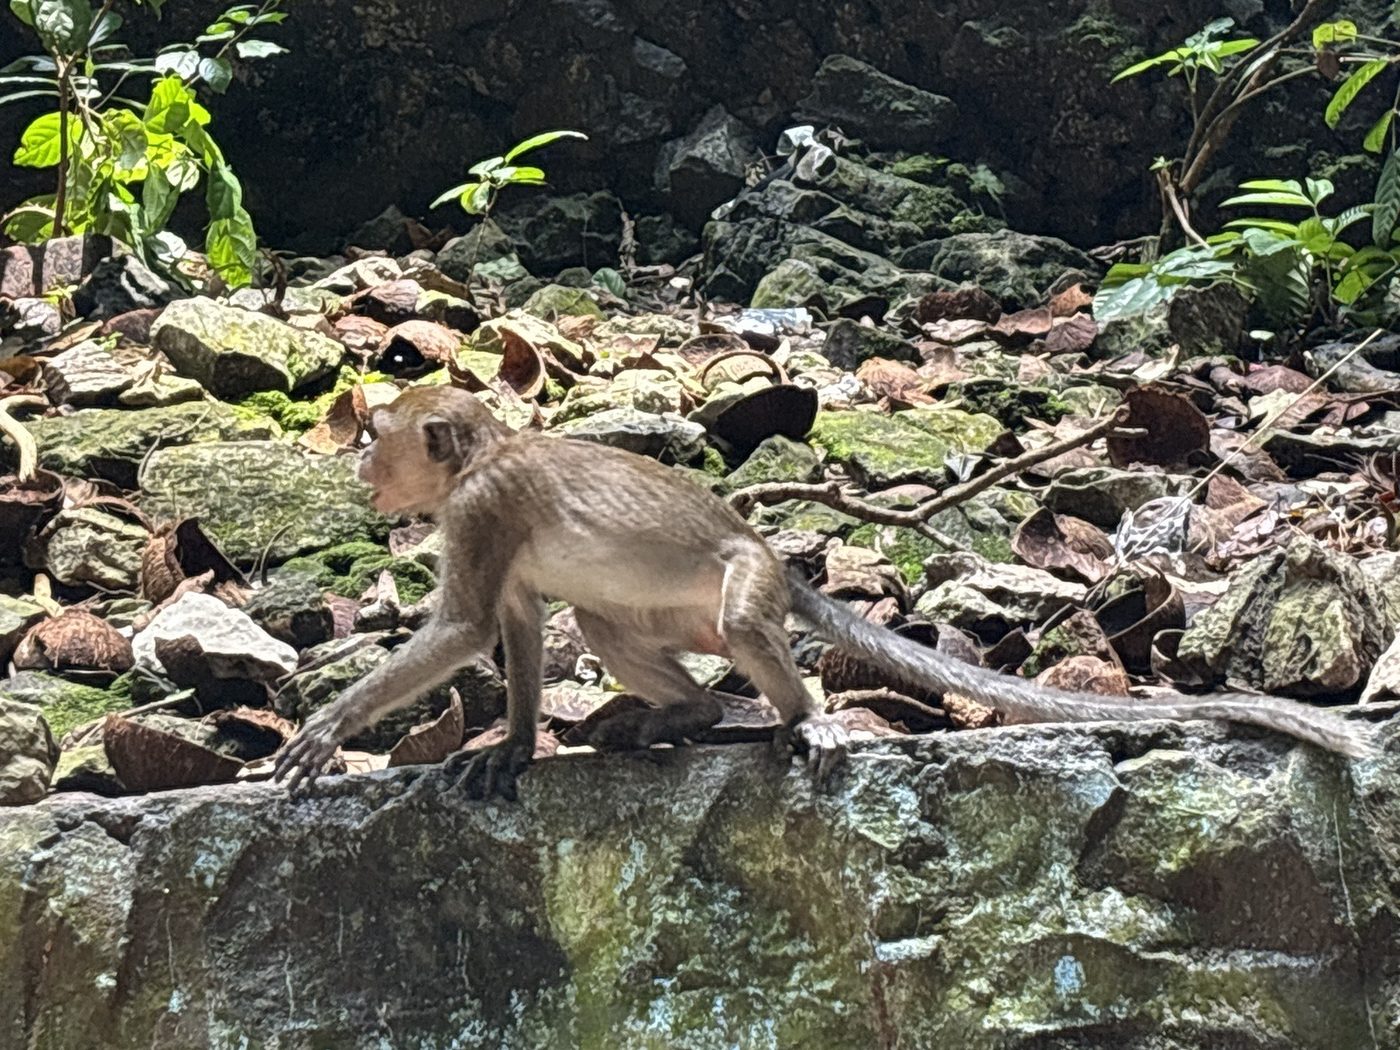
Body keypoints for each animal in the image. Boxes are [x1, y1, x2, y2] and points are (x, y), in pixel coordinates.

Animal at [273, 386, 1376, 798]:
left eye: (377, 437)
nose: (359, 472)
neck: (482, 460)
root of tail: (774, 554)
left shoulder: (482, 509)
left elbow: (464, 627)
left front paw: (327, 730)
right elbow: (515, 624)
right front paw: (509, 745)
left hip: (747, 582)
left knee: (736, 622)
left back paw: (800, 718)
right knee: (603, 620)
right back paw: (680, 715)